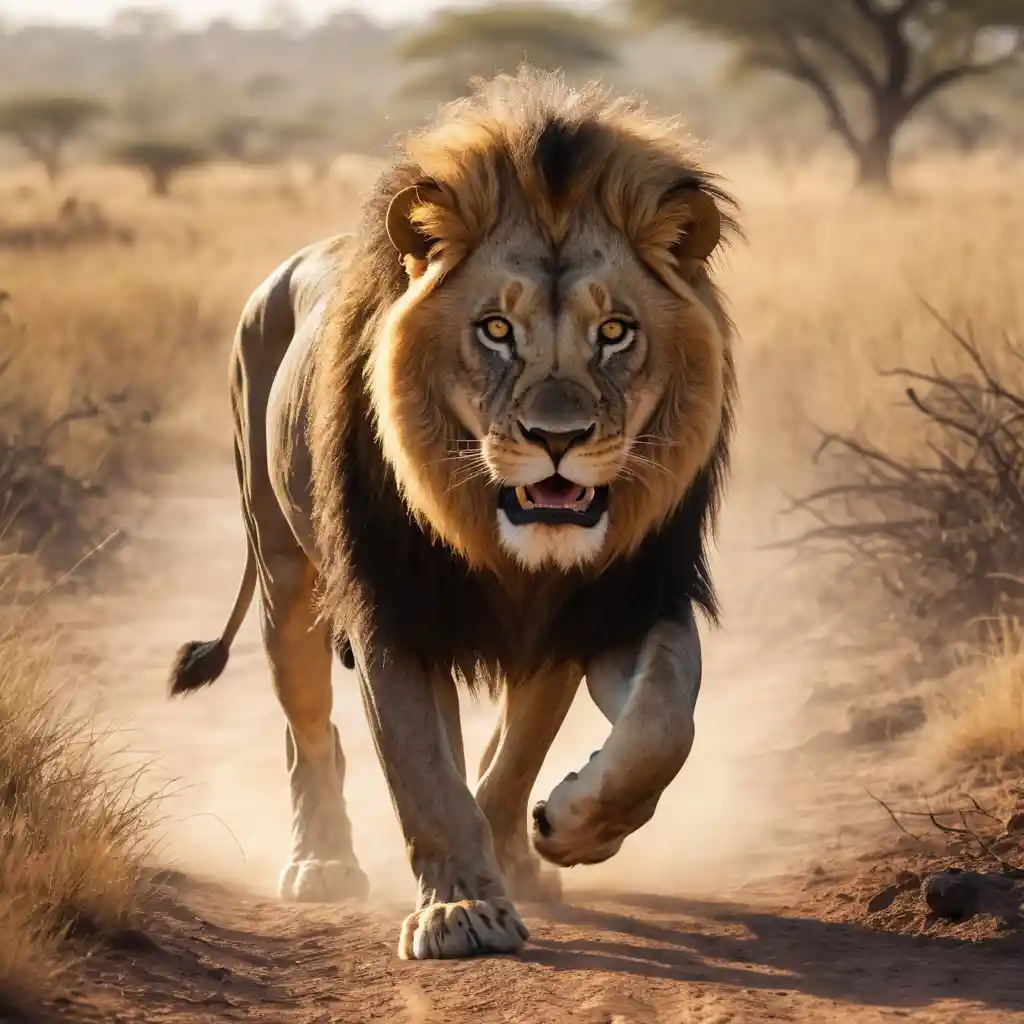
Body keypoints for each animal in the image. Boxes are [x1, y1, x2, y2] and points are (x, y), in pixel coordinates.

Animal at [167, 68, 738, 961]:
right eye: (495, 329)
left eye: (615, 332)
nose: (557, 439)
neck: (509, 545)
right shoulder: (394, 610)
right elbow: (424, 776)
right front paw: (462, 910)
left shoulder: (615, 600)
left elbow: (647, 730)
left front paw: (561, 829)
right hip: (283, 571)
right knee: (308, 728)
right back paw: (322, 864)